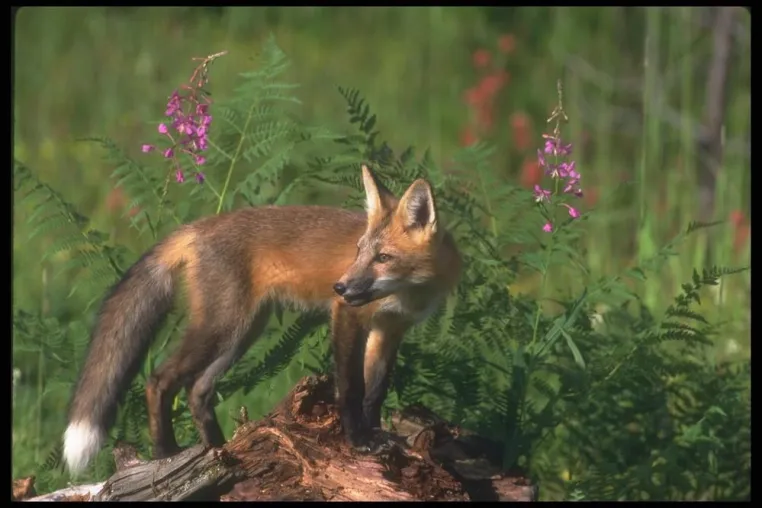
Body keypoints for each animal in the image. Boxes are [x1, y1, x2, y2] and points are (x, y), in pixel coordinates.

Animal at [62, 164, 462, 474]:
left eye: (383, 257)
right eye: (359, 251)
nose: (340, 286)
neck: (409, 292)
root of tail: (198, 226)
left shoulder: (390, 329)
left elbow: (375, 391)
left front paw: (378, 435)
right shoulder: (348, 316)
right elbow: (351, 388)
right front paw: (358, 440)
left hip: (242, 334)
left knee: (197, 390)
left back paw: (219, 453)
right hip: (221, 327)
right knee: (159, 380)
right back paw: (166, 454)